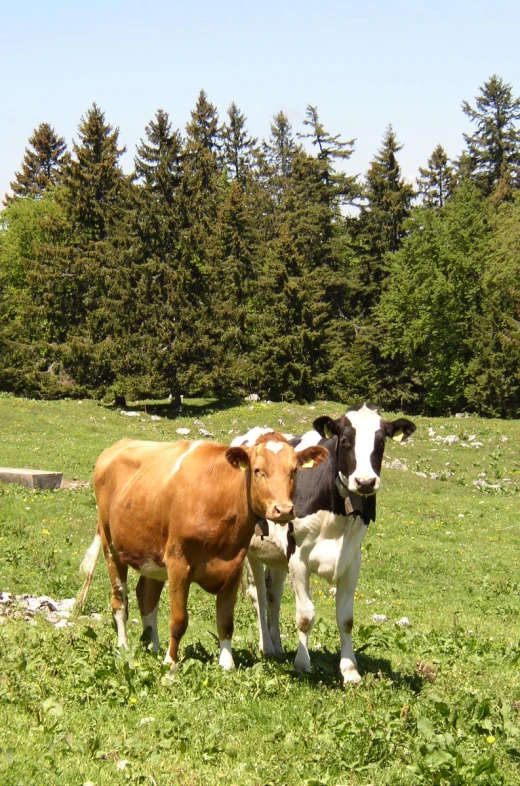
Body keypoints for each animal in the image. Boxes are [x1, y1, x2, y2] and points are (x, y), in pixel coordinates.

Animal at [76, 432, 324, 672]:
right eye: (257, 470)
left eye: (294, 470)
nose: (283, 509)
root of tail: (117, 446)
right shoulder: (178, 564)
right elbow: (178, 621)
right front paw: (171, 664)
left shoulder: (234, 566)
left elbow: (225, 620)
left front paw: (226, 664)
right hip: (111, 548)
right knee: (120, 602)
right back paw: (124, 647)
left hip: (153, 556)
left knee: (146, 597)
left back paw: (153, 647)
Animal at [242, 402, 416, 684]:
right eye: (344, 440)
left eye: (381, 442)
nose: (365, 482)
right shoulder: (298, 558)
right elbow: (305, 616)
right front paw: (302, 663)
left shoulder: (352, 560)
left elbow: (346, 619)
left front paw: (350, 670)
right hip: (253, 551)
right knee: (258, 595)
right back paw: (266, 646)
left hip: (278, 557)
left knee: (272, 595)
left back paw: (277, 647)